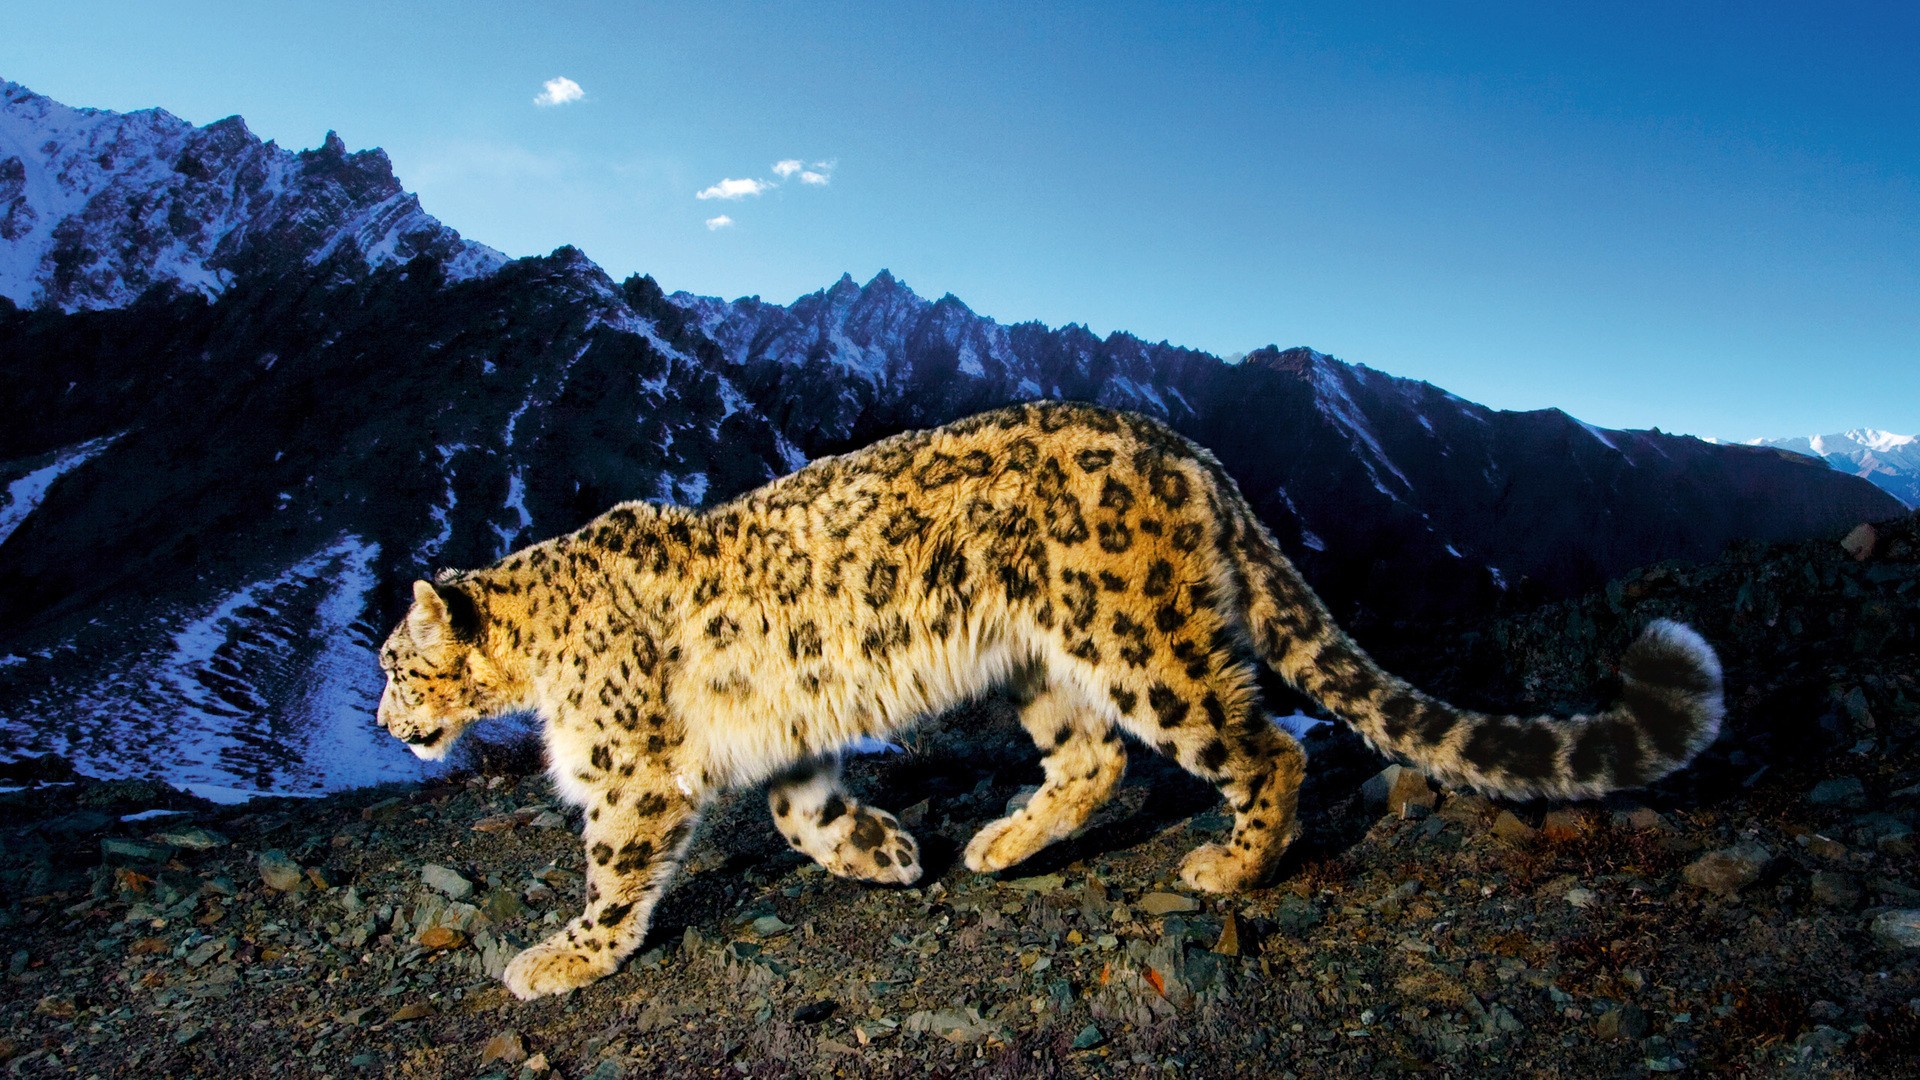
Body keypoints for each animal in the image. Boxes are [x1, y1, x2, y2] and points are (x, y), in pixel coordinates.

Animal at [375, 400, 1724, 1000]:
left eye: (392, 661)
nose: (385, 722)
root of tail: (1188, 450)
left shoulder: (629, 771)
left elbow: (615, 870)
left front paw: (561, 957)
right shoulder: (786, 740)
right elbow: (802, 814)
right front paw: (885, 853)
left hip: (1141, 639)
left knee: (1260, 747)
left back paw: (1226, 867)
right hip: (1042, 665)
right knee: (1095, 761)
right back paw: (996, 844)